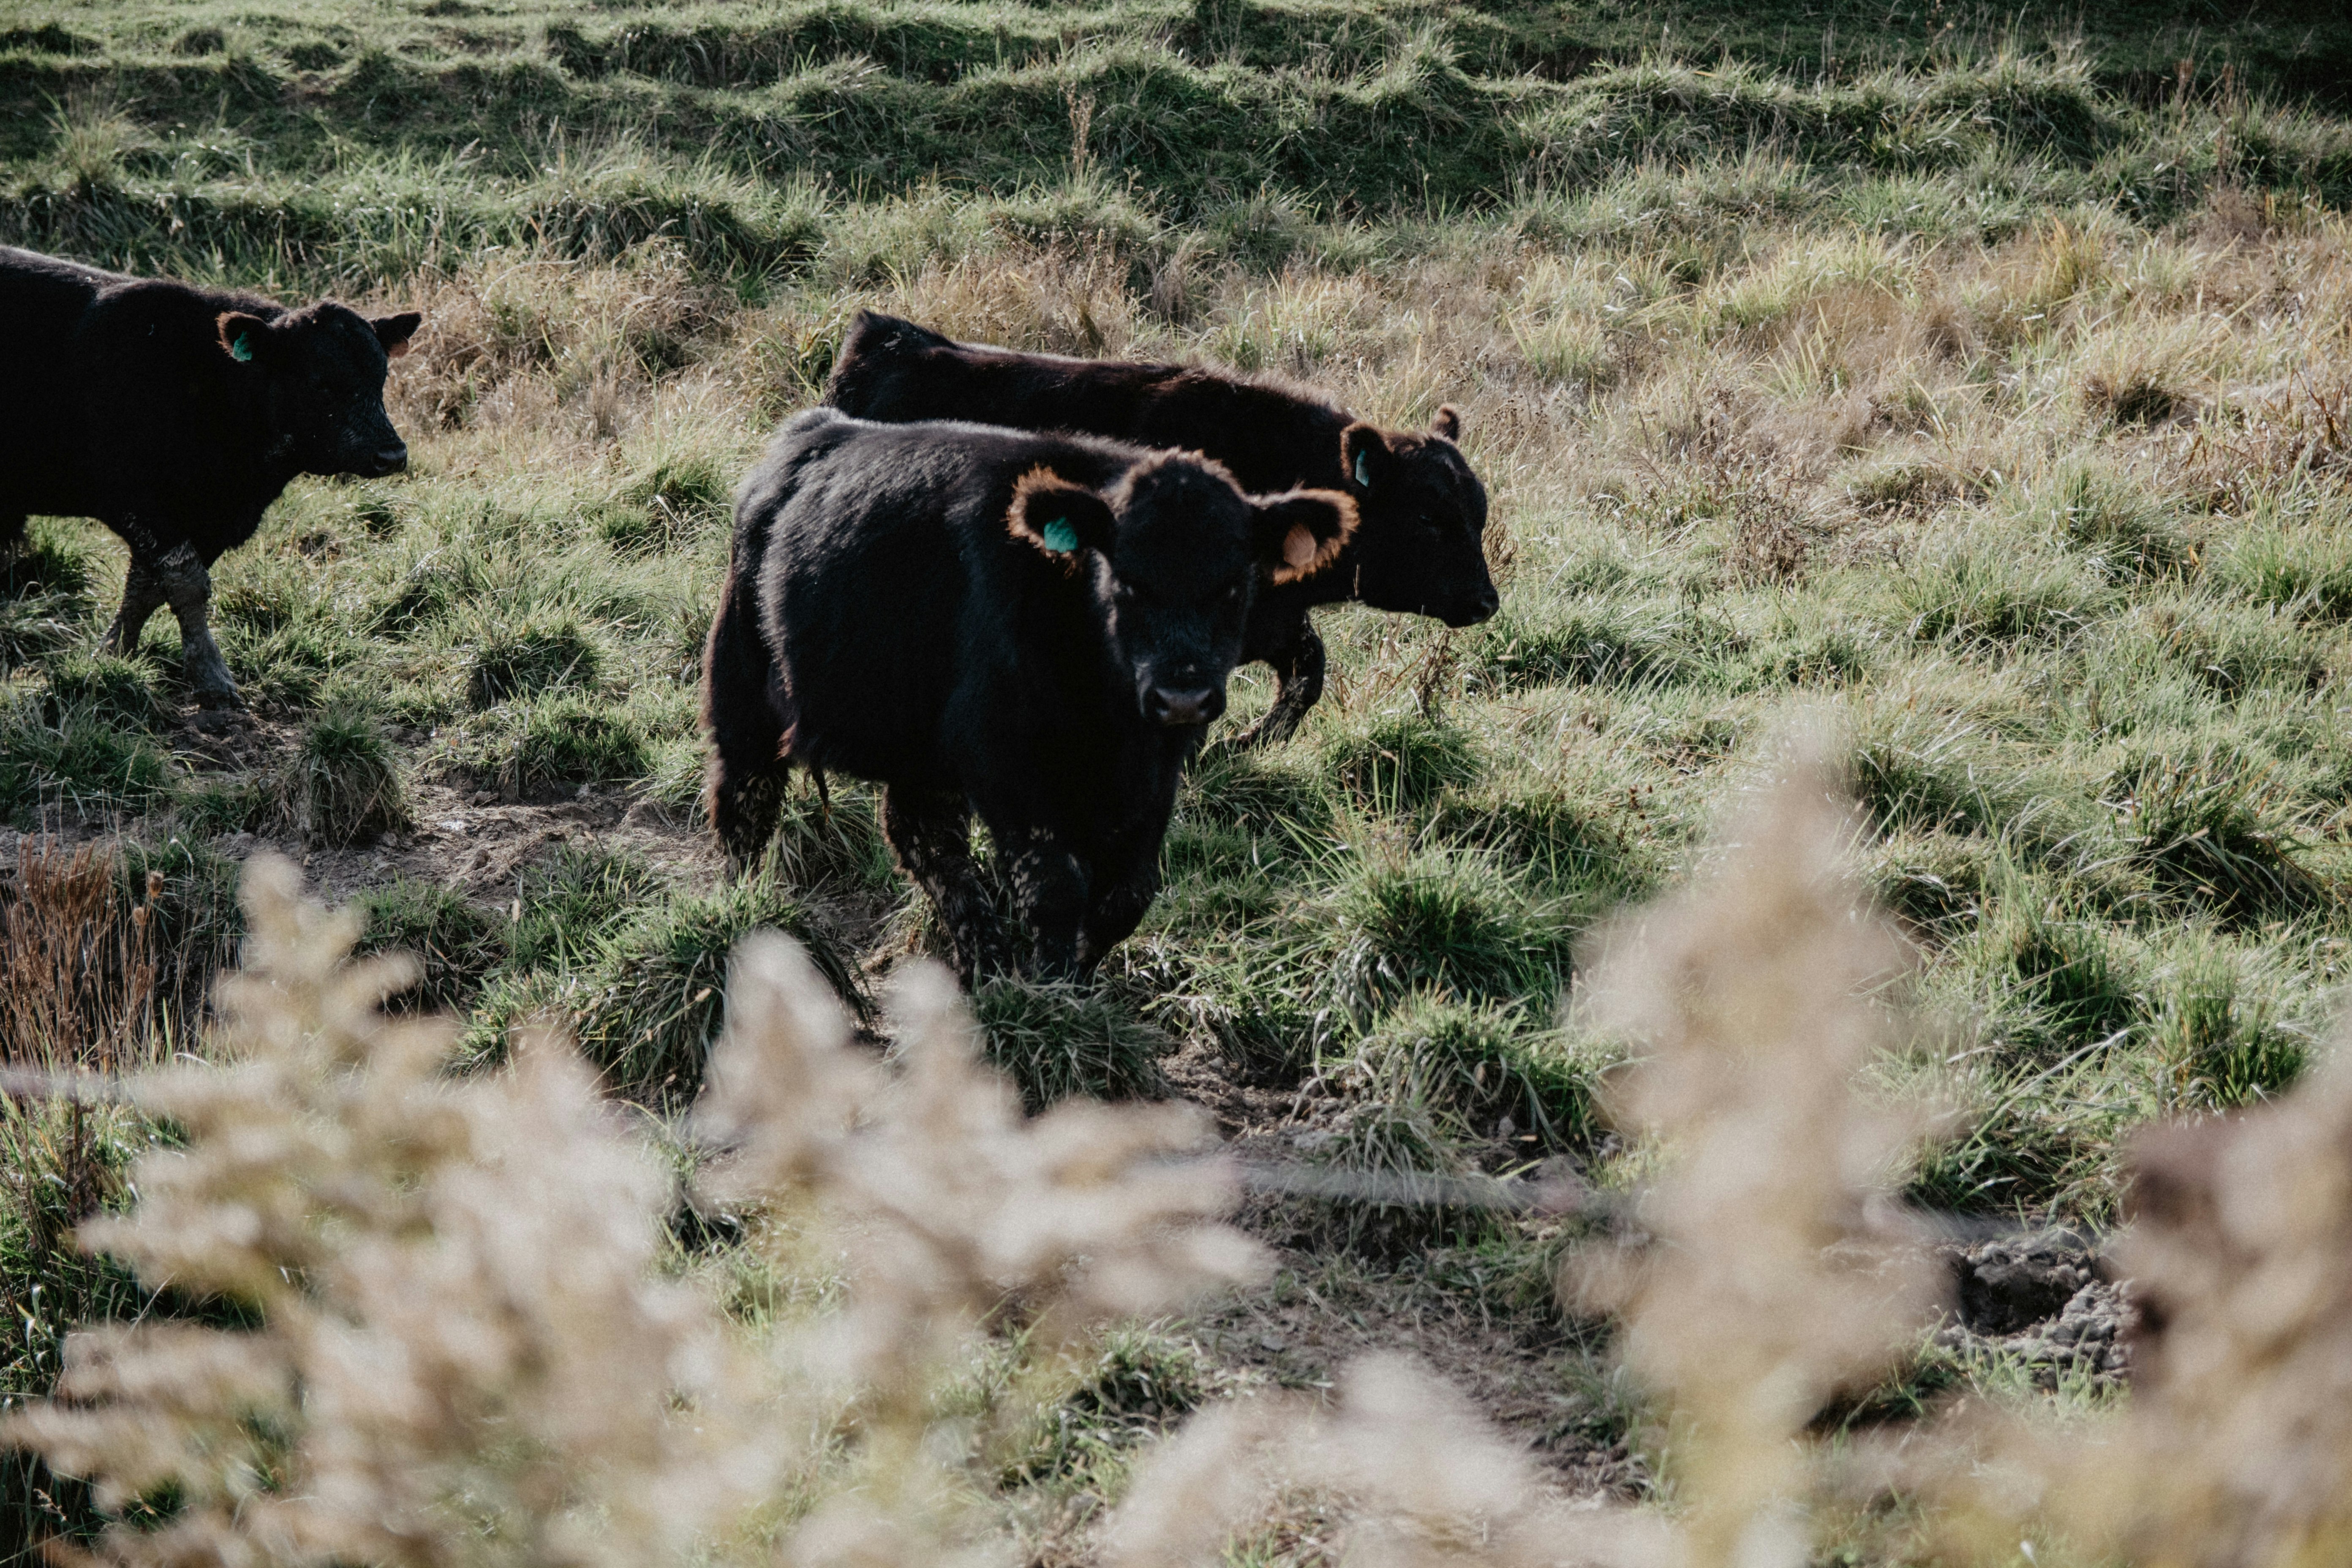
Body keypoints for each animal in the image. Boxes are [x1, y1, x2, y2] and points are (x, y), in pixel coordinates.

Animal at [0, 245, 419, 705]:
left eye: (381, 377)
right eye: (321, 384)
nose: (392, 454)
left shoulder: (205, 521)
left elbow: (145, 588)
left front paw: (114, 654)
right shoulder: (139, 504)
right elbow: (187, 583)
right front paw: (211, 676)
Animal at [705, 411, 1355, 987]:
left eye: (1235, 584)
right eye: (1126, 581)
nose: (1183, 696)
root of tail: (812, 433)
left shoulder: (1155, 769)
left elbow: (1128, 894)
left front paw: (1081, 977)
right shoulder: (1003, 758)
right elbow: (1053, 884)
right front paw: (1052, 990)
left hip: (922, 752)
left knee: (921, 834)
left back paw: (985, 964)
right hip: (743, 696)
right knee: (746, 805)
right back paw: (748, 909)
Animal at [818, 310, 1496, 747]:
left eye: (1479, 513)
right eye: (1430, 517)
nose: (1486, 601)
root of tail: (882, 341)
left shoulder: (1275, 624)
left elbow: (1306, 678)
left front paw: (1242, 744)